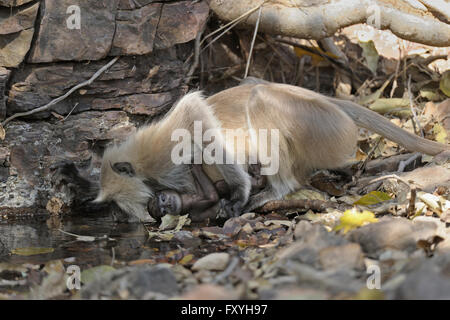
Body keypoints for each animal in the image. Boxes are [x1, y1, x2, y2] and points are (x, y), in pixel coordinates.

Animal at [93, 78, 448, 222]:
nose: (157, 206)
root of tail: (331, 102)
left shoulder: (159, 149)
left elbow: (195, 114)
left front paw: (239, 192)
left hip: (322, 125)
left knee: (258, 98)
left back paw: (272, 190)